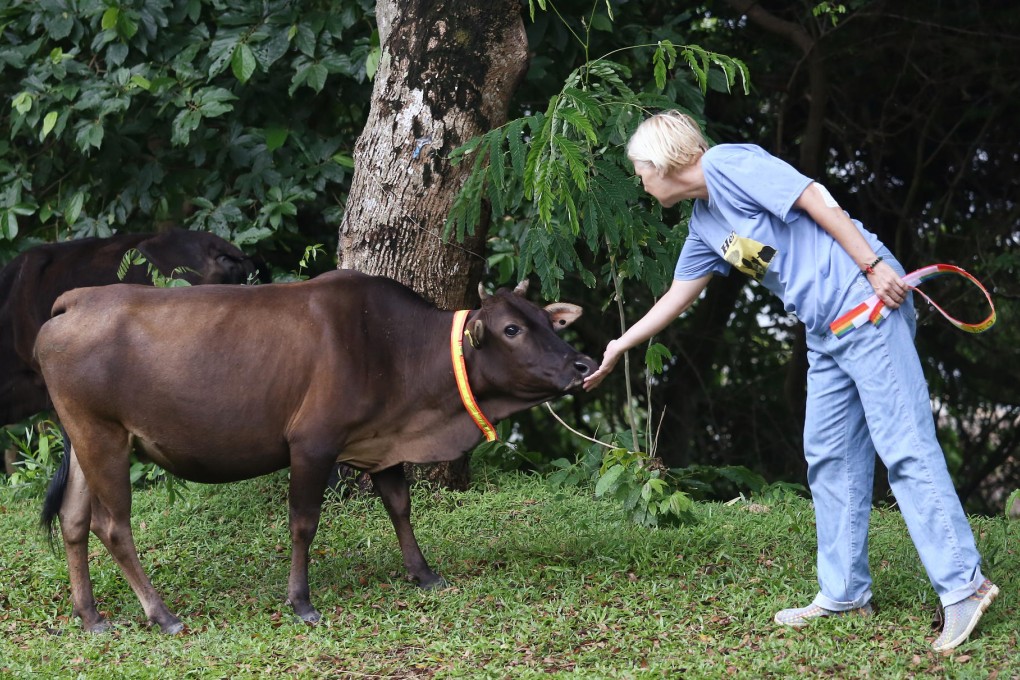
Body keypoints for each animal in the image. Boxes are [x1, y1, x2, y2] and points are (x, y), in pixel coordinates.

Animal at [37, 271, 595, 632]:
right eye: (511, 329)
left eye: (550, 321)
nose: (582, 364)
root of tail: (78, 299)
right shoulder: (312, 443)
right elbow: (303, 524)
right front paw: (301, 602)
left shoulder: (382, 442)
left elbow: (400, 506)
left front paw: (424, 574)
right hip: (104, 437)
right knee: (113, 526)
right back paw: (161, 614)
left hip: (84, 438)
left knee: (73, 520)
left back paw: (90, 616)